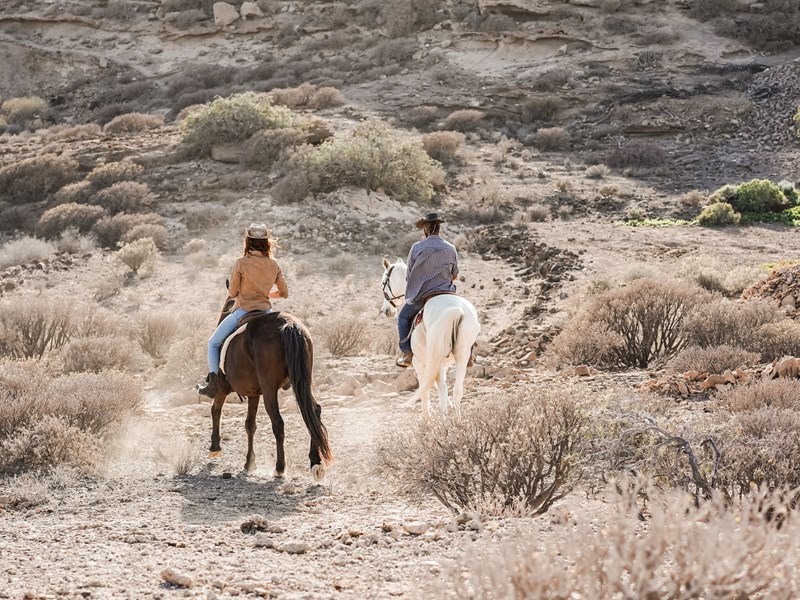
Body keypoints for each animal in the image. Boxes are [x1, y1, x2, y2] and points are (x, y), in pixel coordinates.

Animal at [209, 300, 332, 482]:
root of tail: (288, 325)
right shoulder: (253, 393)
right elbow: (250, 424)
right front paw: (249, 463)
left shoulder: (222, 387)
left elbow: (216, 410)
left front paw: (215, 447)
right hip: (303, 381)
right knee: (313, 411)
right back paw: (315, 463)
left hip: (269, 389)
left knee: (278, 422)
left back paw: (279, 468)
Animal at [380, 256, 478, 418]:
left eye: (383, 283)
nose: (386, 310)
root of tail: (456, 309)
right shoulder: (443, 364)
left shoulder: (420, 362)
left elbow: (425, 388)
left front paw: (426, 417)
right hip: (461, 355)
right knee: (457, 389)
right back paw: (457, 419)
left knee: (442, 389)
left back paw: (444, 420)